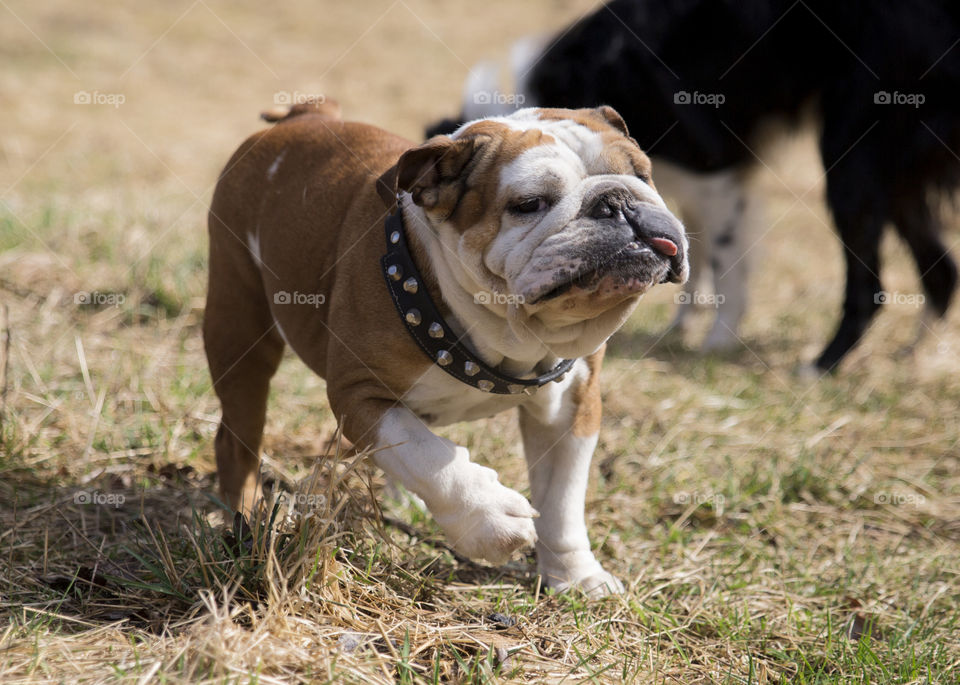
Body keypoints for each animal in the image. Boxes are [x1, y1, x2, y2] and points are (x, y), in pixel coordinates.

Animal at [430, 0, 960, 372]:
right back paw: (914, 356)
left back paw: (821, 366)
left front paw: (717, 339)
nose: (612, 201)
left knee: (870, 285)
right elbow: (692, 252)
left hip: (851, 158)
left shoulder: (715, 175)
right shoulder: (681, 189)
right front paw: (682, 325)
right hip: (894, 178)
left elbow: (725, 266)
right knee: (940, 271)